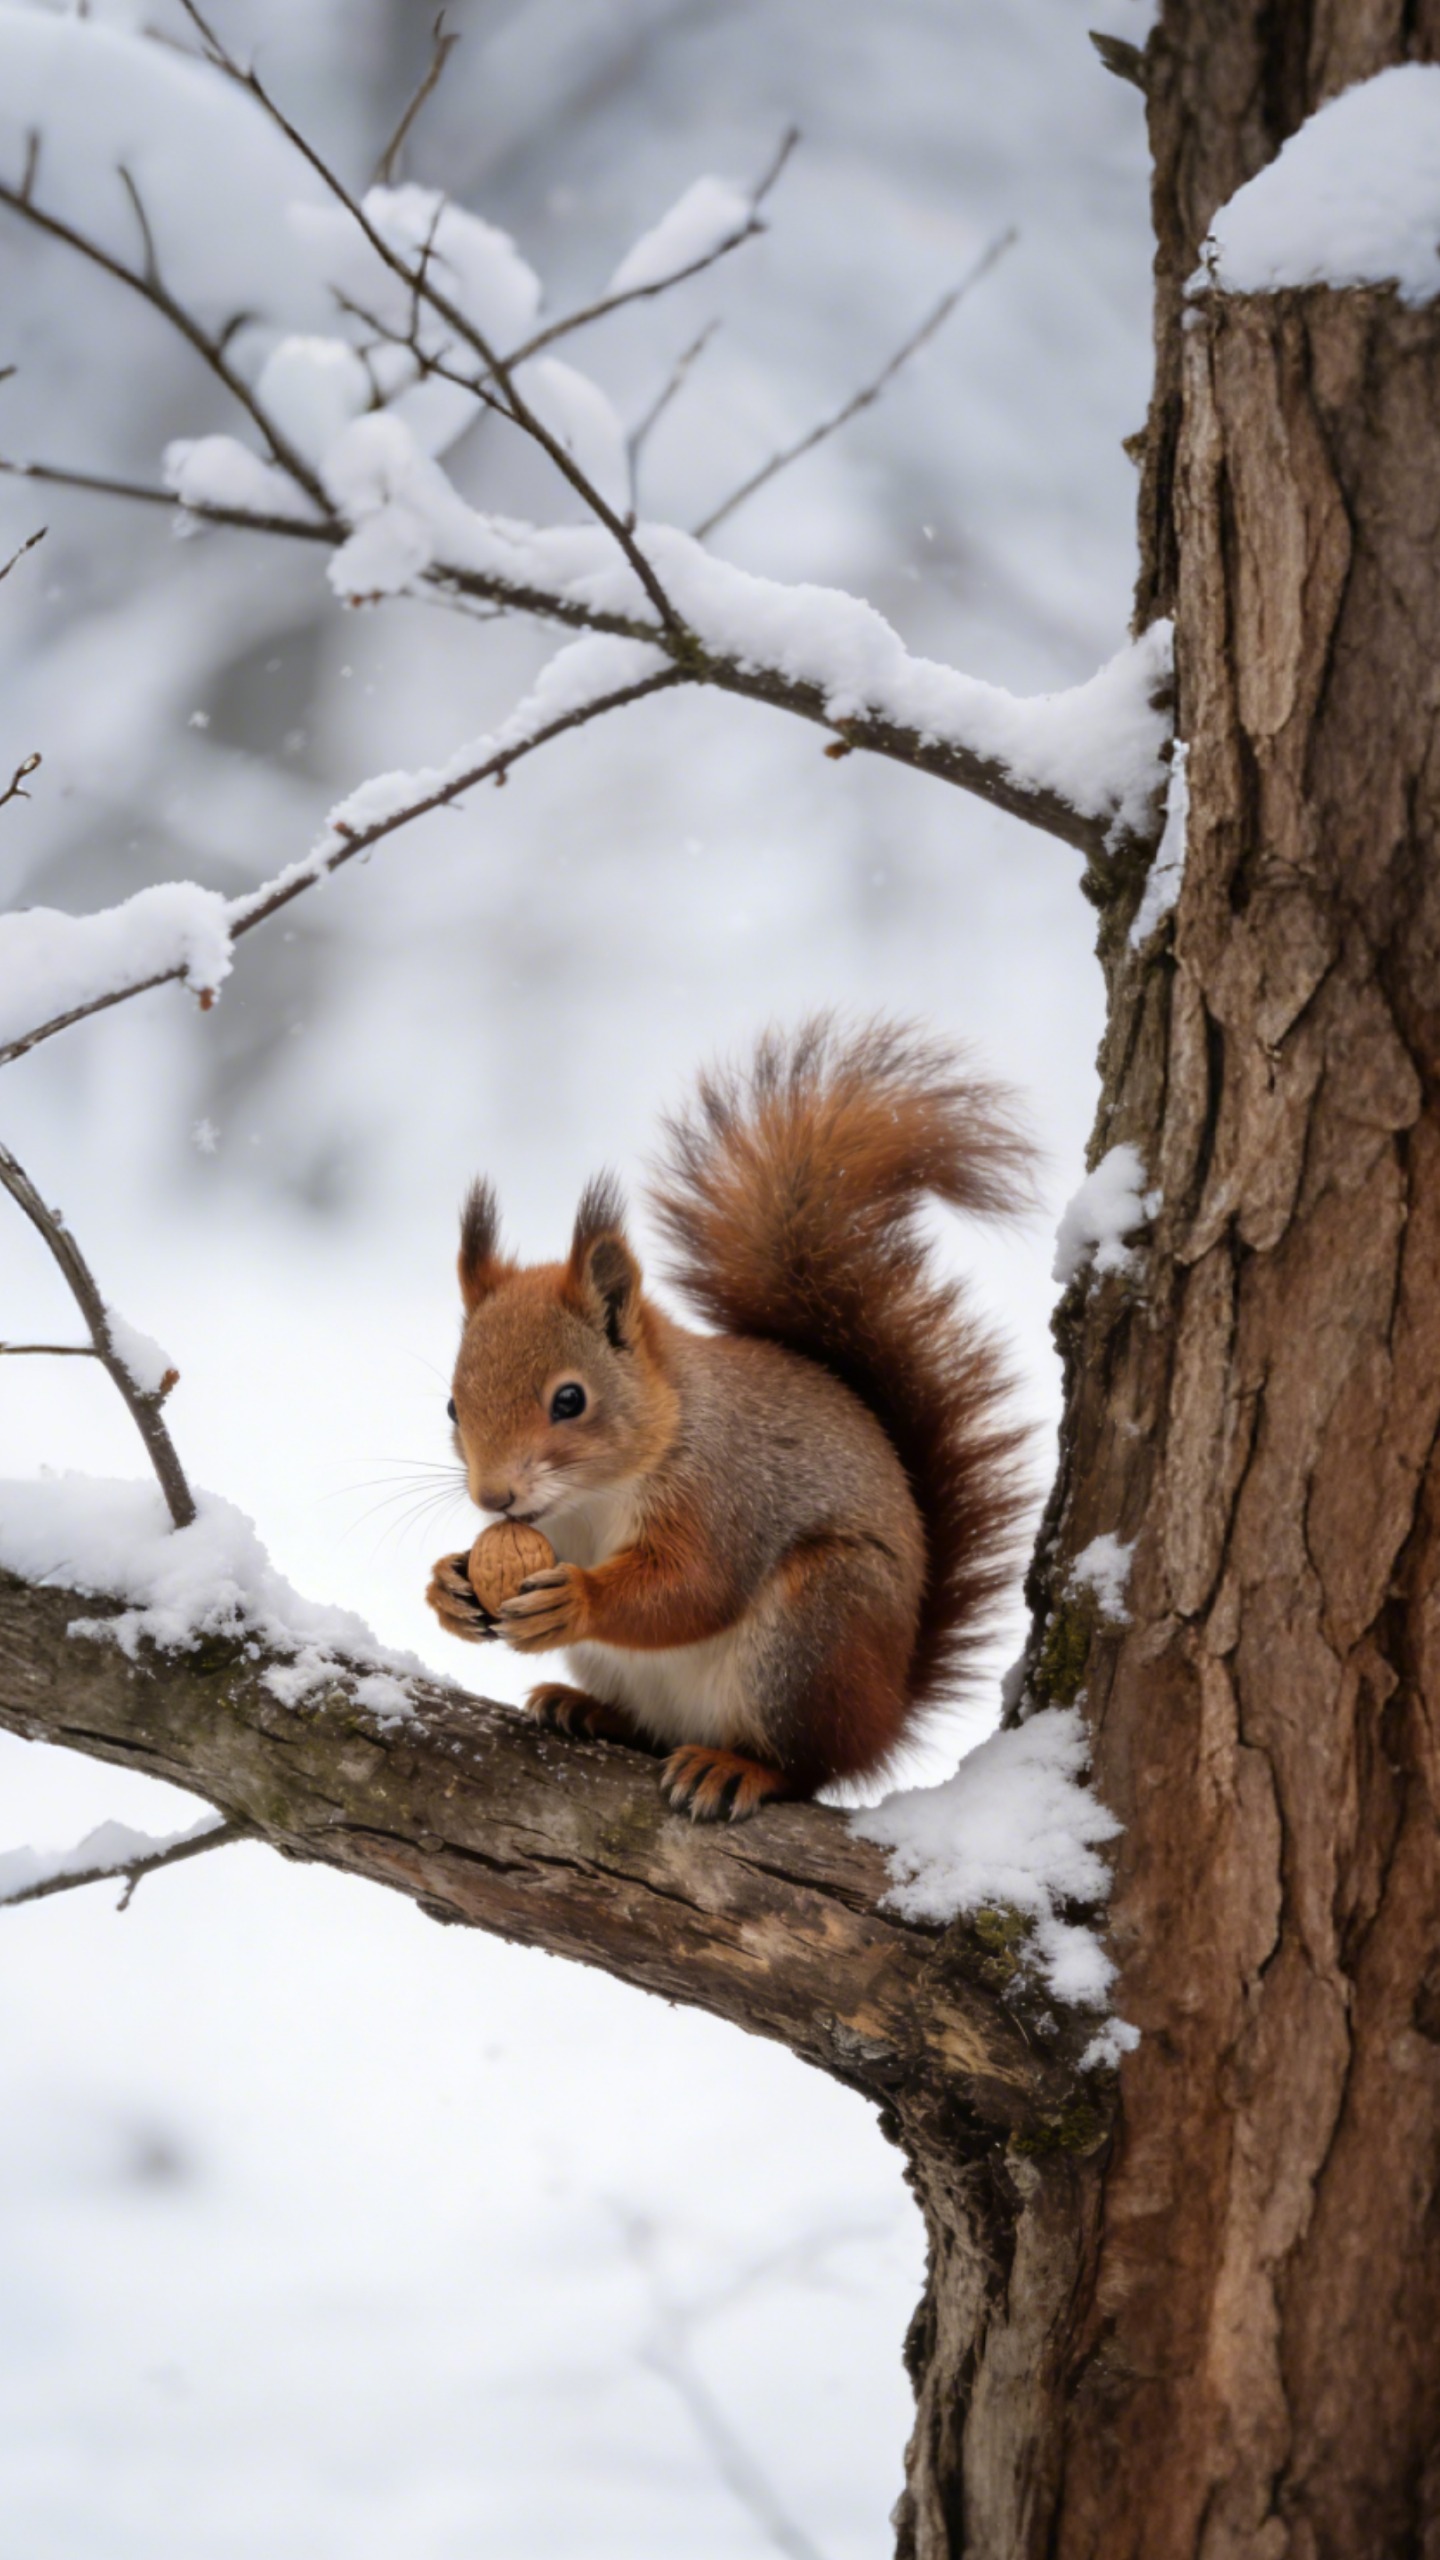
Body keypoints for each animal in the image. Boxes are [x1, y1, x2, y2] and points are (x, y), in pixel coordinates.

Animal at [426, 1018, 1033, 1822]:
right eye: (452, 1406)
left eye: (570, 1400)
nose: (494, 1498)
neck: (593, 1498)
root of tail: (886, 1710)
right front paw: (449, 1585)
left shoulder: (722, 1490)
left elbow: (696, 1586)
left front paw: (582, 1597)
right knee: (653, 1729)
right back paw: (588, 1709)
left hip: (812, 1634)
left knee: (809, 1767)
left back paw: (737, 1768)